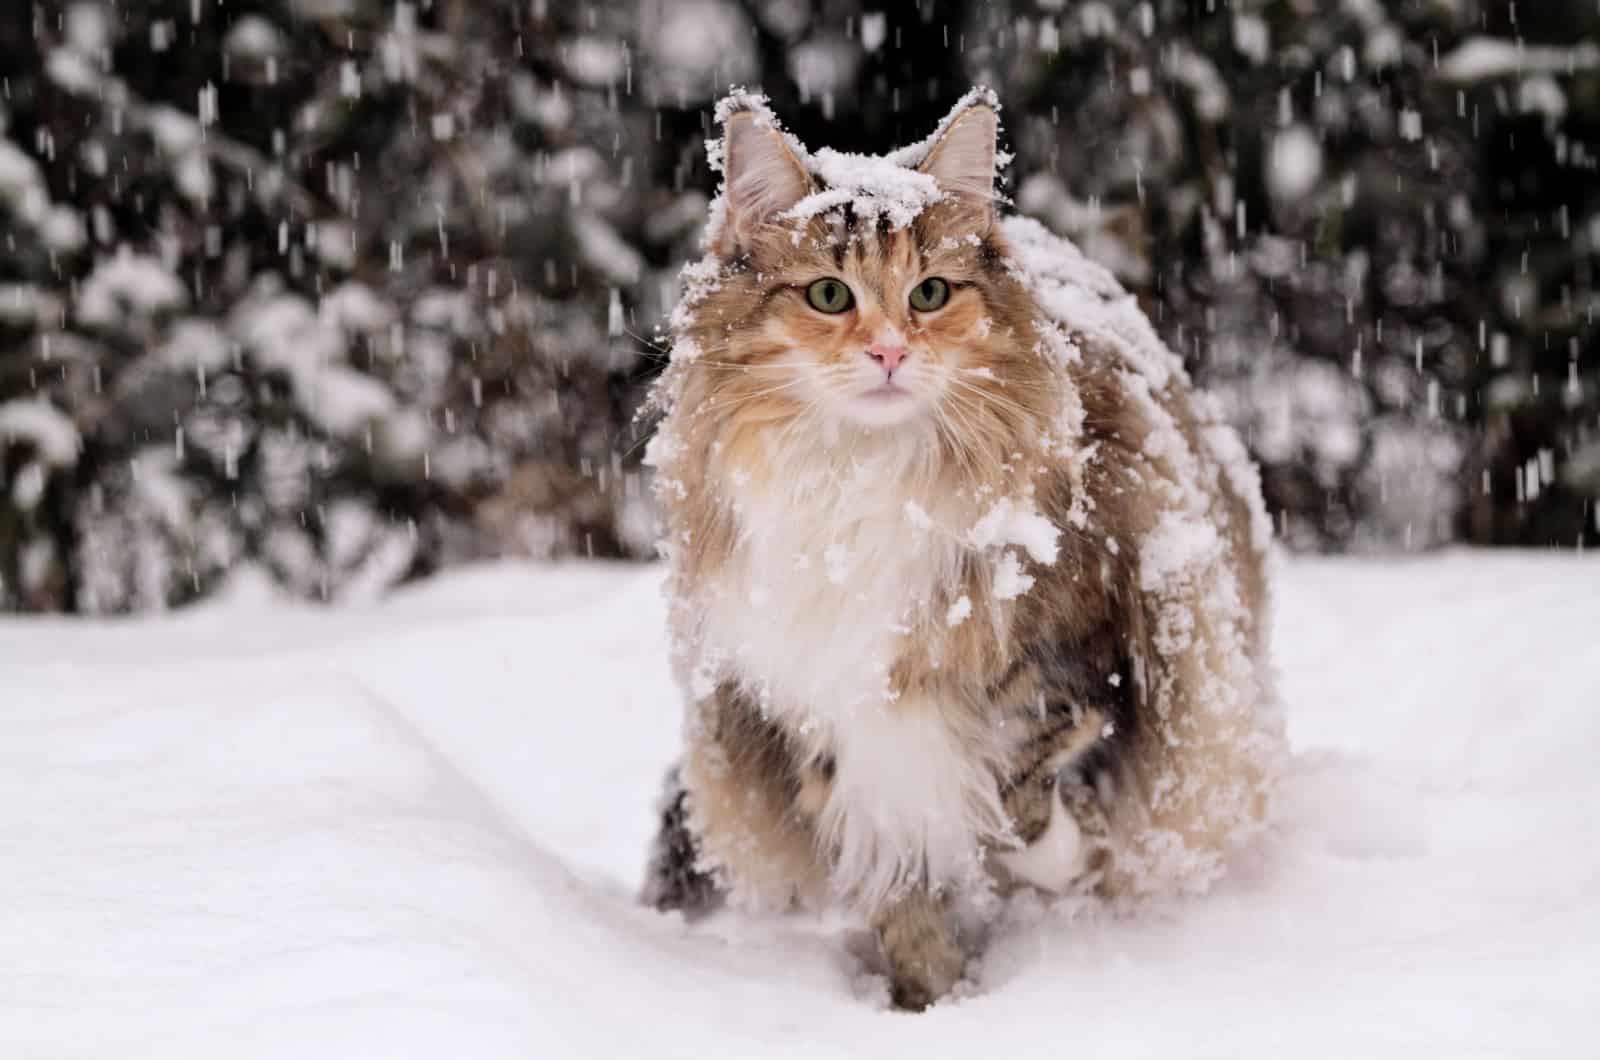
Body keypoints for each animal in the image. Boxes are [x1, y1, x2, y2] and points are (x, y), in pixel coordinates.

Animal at [643, 87, 1280, 1011]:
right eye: (829, 295)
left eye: (932, 292)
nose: (890, 351)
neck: (862, 480)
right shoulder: (823, 714)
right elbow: (903, 889)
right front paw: (929, 1000)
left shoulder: (1088, 649)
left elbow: (1024, 789)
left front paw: (1058, 861)